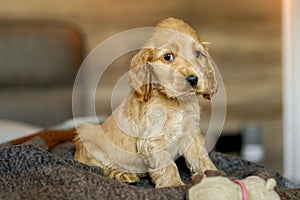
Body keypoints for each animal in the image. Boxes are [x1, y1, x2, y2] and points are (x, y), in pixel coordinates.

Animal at [72, 17, 218, 188]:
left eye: (197, 53)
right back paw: (124, 174)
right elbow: (167, 164)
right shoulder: (153, 138)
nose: (193, 79)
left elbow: (201, 157)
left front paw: (214, 176)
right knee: (104, 165)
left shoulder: (191, 133)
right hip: (87, 133)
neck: (175, 101)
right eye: (168, 57)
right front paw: (173, 185)